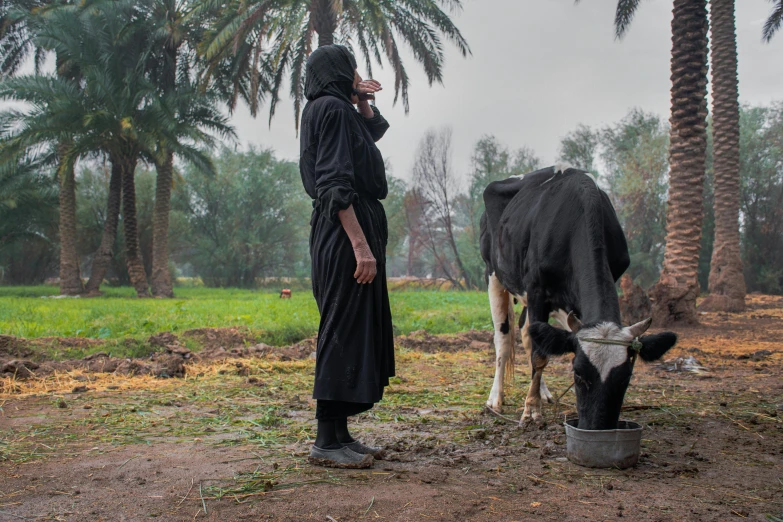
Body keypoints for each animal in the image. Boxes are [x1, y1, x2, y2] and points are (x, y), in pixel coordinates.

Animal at [480, 165, 676, 428]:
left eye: (625, 378)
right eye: (578, 373)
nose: (598, 427)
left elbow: (542, 345)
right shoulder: (536, 289)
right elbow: (539, 356)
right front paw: (531, 411)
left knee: (528, 333)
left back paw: (543, 392)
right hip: (494, 275)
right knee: (504, 339)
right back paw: (496, 398)